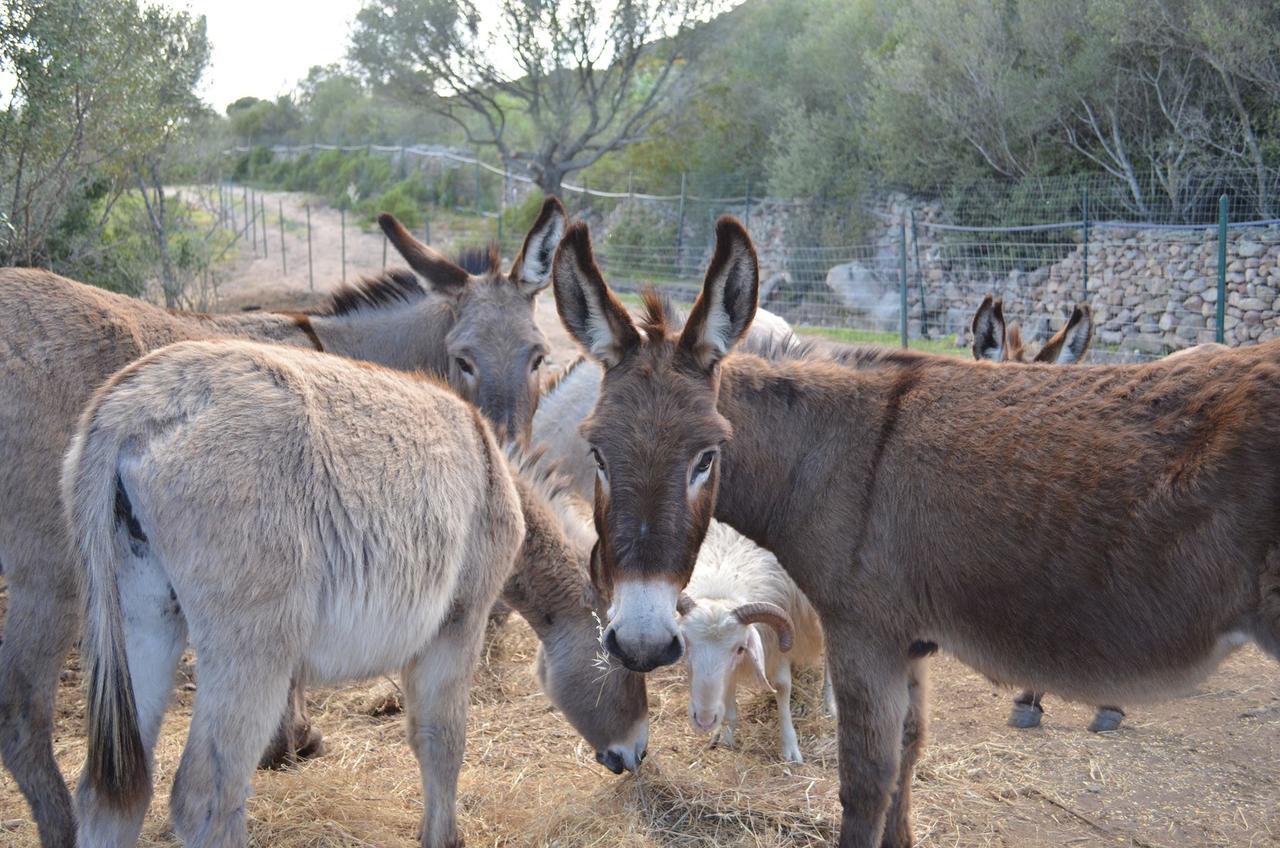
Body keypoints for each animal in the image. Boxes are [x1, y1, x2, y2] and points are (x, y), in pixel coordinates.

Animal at [680, 522, 829, 768]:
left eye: (740, 648)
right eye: (686, 644)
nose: (704, 720)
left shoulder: (780, 637)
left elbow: (782, 686)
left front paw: (790, 746)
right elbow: (728, 690)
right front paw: (727, 734)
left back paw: (829, 702)